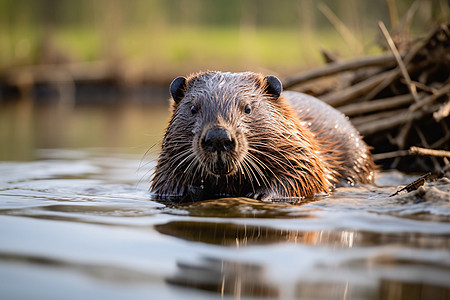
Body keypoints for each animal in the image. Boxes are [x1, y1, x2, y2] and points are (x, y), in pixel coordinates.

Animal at [149, 71, 374, 202]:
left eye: (248, 108)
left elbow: (306, 174)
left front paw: (261, 193)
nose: (218, 137)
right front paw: (192, 191)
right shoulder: (168, 160)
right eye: (193, 108)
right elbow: (166, 182)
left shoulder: (302, 147)